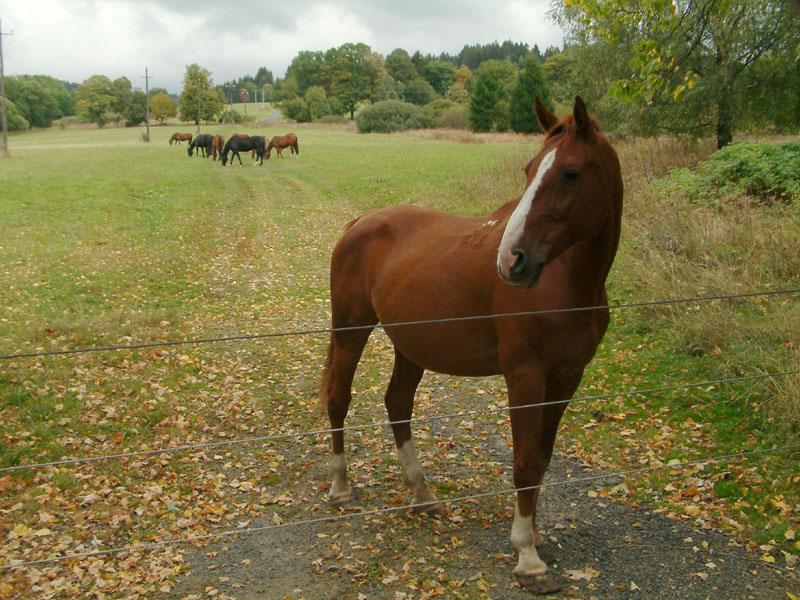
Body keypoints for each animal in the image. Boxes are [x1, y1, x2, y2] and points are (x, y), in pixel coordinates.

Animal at [320, 96, 624, 592]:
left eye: (571, 173)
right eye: (529, 170)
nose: (512, 260)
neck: (567, 282)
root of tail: (362, 221)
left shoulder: (566, 379)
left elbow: (542, 459)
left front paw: (536, 535)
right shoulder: (525, 376)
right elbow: (524, 462)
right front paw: (527, 557)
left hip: (411, 346)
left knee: (397, 404)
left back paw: (422, 493)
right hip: (350, 331)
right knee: (338, 401)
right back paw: (342, 488)